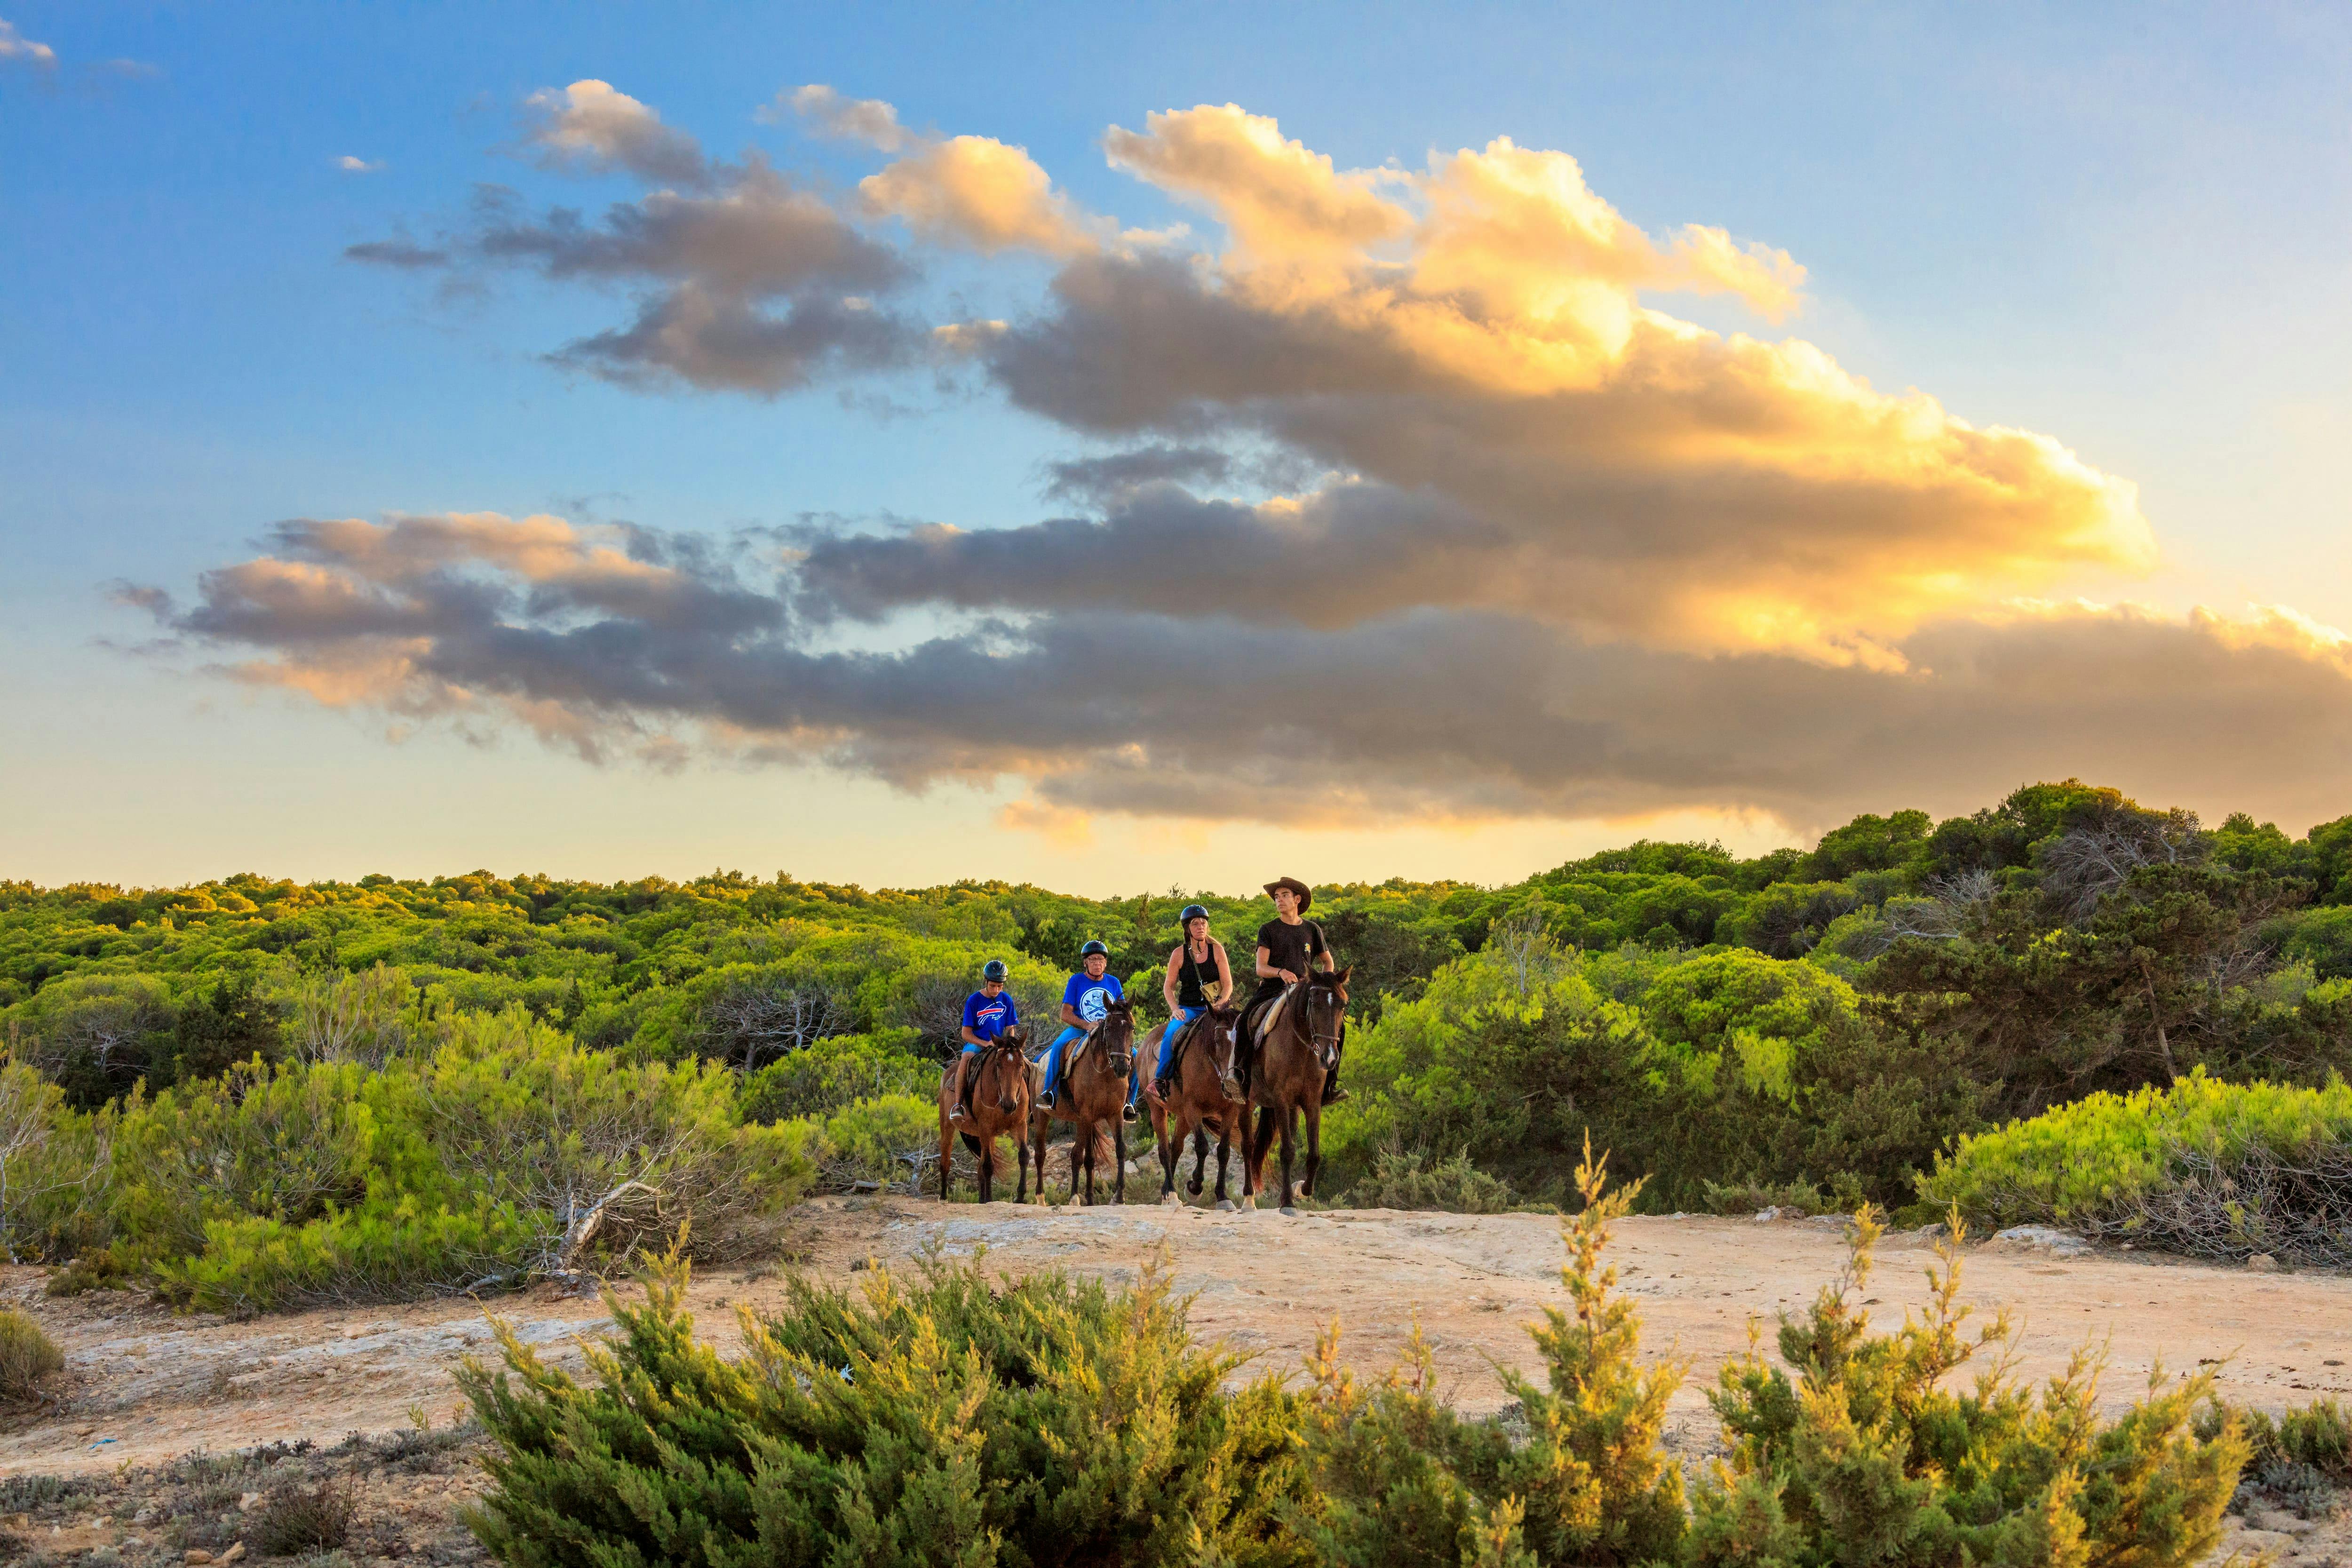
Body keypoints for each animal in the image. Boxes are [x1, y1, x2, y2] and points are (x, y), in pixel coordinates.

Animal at [931, 1025, 1035, 1213]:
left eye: (1021, 1065)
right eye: (998, 1065)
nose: (1010, 1104)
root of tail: (946, 1074)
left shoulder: (1020, 1125)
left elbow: (1023, 1156)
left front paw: (1020, 1197)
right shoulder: (985, 1128)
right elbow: (988, 1166)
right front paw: (989, 1199)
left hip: (986, 1136)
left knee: (980, 1168)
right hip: (948, 1126)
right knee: (946, 1162)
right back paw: (943, 1198)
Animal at [1030, 1001, 1138, 1213]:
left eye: (1131, 1028)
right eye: (1108, 1028)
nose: (1122, 1067)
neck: (1105, 1074)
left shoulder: (1115, 1115)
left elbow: (1119, 1150)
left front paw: (1119, 1197)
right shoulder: (1085, 1116)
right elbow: (1079, 1156)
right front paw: (1076, 1198)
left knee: (1086, 1158)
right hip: (1042, 1116)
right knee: (1040, 1154)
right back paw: (1041, 1198)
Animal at [1138, 1011, 1251, 1213]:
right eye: (1216, 1041)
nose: (1231, 1083)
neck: (1212, 1069)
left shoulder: (1229, 1112)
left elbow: (1223, 1151)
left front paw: (1223, 1197)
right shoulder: (1193, 1109)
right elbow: (1202, 1146)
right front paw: (1194, 1188)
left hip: (1183, 1117)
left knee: (1176, 1149)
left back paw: (1166, 1194)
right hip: (1157, 1109)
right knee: (1164, 1151)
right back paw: (1173, 1195)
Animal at [1242, 968, 1355, 1213]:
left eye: (1342, 1005)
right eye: (1314, 1003)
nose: (1329, 1058)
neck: (1302, 1048)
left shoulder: (1312, 1102)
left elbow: (1314, 1154)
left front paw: (1301, 1190)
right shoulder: (1282, 1101)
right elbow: (1287, 1151)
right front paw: (1287, 1202)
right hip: (1245, 1102)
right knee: (1247, 1147)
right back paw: (1248, 1200)